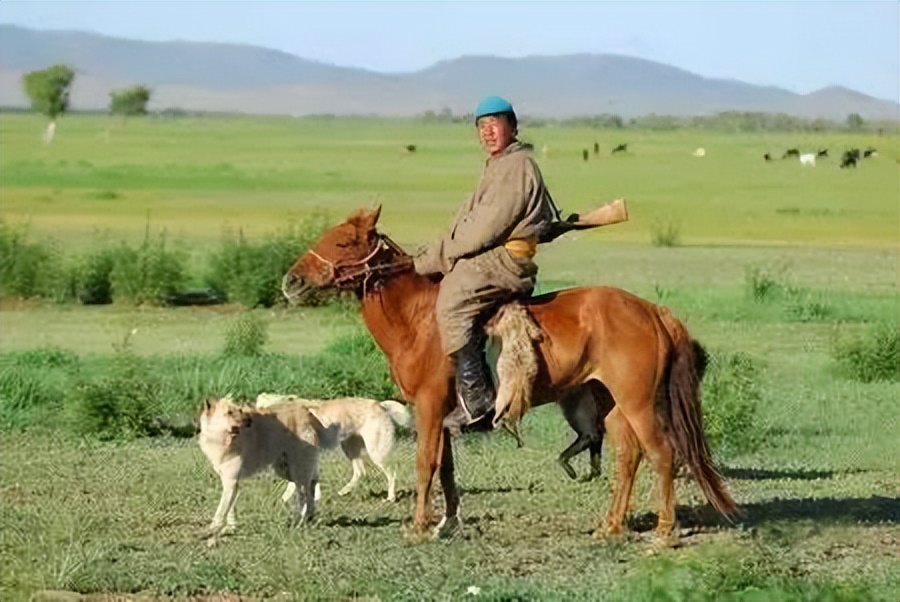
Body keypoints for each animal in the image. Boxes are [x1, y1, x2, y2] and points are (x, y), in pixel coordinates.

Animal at [197, 394, 324, 544]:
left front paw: (211, 532)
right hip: (285, 470)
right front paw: (231, 527)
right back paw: (308, 517)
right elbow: (230, 507)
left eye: (239, 410)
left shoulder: (231, 482)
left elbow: (221, 511)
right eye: (229, 412)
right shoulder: (232, 483)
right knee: (309, 486)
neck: (220, 438)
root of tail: (307, 412)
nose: (249, 421)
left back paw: (301, 521)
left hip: (297, 469)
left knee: (305, 493)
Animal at [255, 394, 414, 502]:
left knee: (391, 474)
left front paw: (285, 498)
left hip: (376, 453)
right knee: (360, 472)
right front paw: (315, 497)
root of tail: (380, 404)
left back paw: (391, 498)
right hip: (350, 448)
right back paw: (343, 492)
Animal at [284, 206, 740, 544]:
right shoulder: (444, 416)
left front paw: (418, 527)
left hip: (639, 402)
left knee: (662, 453)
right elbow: (446, 470)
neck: (419, 319)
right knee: (628, 457)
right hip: (611, 404)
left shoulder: (429, 409)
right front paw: (447, 523)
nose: (291, 281)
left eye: (343, 242)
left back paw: (664, 531)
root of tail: (650, 310)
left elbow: (425, 464)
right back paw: (611, 526)